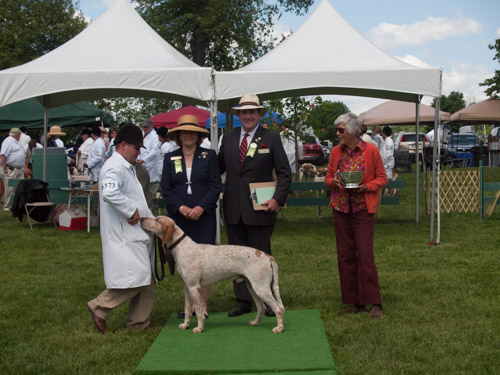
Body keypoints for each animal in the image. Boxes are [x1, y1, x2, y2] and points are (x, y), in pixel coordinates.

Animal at [142, 217, 286, 334]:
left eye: (157, 220)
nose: (141, 219)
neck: (183, 247)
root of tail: (267, 256)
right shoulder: (187, 288)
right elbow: (188, 310)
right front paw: (185, 325)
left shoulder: (194, 287)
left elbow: (198, 311)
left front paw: (199, 328)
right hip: (252, 287)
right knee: (261, 307)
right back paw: (255, 323)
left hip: (261, 288)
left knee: (278, 308)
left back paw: (279, 328)